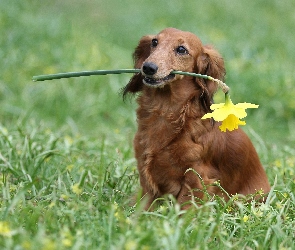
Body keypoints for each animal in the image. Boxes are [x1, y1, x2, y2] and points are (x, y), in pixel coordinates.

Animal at [122, 27, 270, 209]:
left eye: (181, 49)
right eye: (154, 42)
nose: (148, 67)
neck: (166, 111)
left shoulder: (196, 177)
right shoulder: (146, 178)